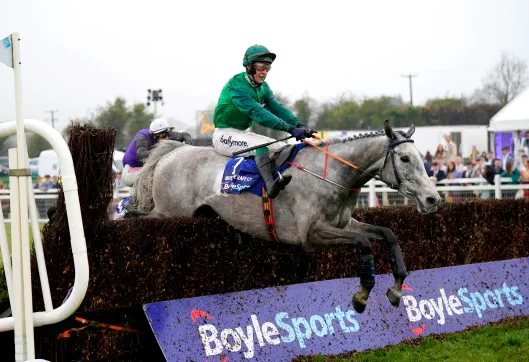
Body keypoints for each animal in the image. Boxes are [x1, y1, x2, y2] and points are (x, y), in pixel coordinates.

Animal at [132, 120, 442, 312]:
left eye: (420, 157)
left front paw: (397, 289)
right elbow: (364, 243)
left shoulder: (345, 223)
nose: (433, 199)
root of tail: (173, 151)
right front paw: (362, 296)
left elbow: (388, 234)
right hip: (168, 213)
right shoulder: (311, 235)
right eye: (405, 159)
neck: (330, 174)